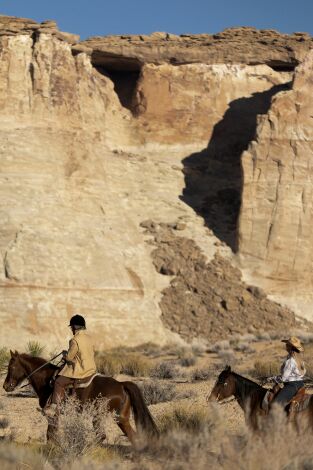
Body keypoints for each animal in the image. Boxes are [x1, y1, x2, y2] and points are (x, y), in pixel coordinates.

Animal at [2, 350, 158, 446]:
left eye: (11, 367)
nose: (5, 386)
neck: (47, 380)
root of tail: (121, 384)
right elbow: (52, 433)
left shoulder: (52, 414)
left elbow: (50, 433)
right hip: (121, 418)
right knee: (132, 436)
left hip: (98, 416)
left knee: (102, 436)